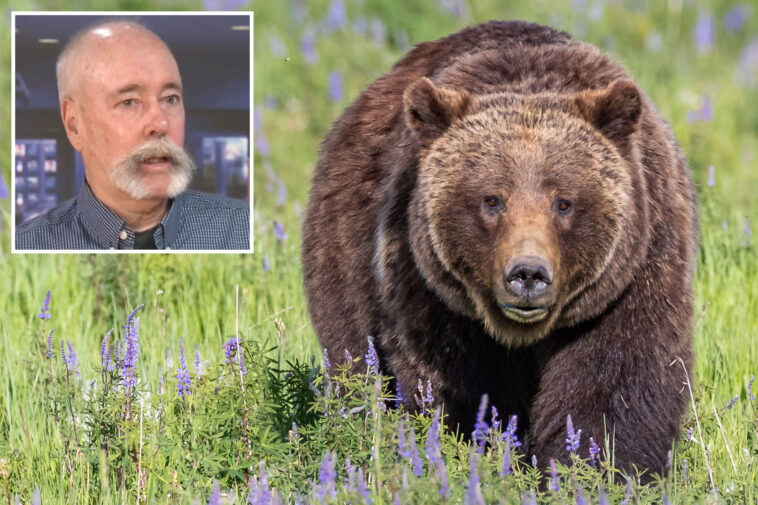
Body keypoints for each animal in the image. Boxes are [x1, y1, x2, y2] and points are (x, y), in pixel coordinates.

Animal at [302, 20, 698, 479]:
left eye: (563, 202)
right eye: (492, 200)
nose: (528, 274)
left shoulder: (629, 277)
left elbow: (615, 382)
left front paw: (597, 469)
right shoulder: (430, 290)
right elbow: (457, 385)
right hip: (347, 250)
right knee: (352, 353)